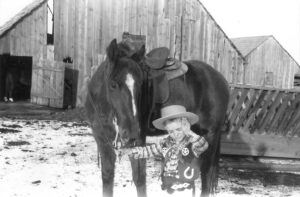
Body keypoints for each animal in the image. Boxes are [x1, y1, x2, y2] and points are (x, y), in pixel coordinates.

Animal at [85, 39, 230, 196]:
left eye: (141, 84)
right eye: (113, 85)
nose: (131, 133)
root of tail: (221, 80)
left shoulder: (139, 141)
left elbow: (139, 179)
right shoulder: (102, 138)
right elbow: (107, 176)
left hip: (210, 134)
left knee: (206, 176)